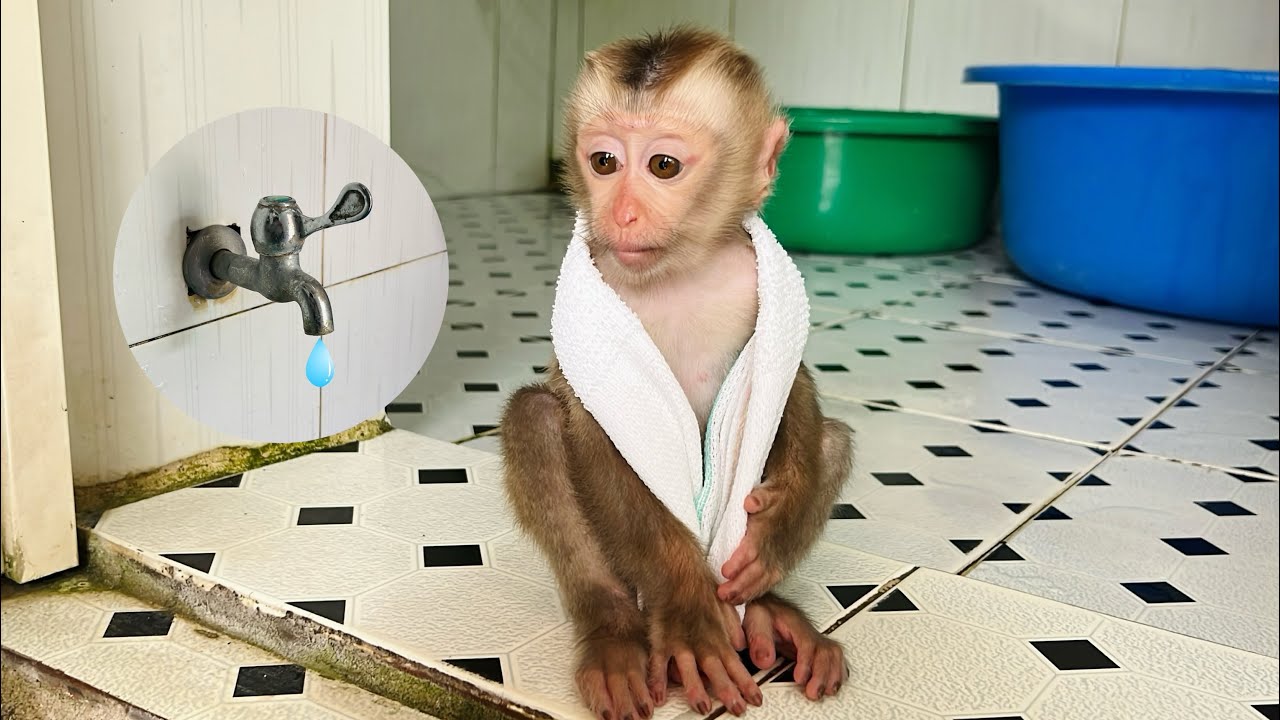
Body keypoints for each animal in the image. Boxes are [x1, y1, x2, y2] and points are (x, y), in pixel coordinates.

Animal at [499, 27, 853, 720]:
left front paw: (774, 530)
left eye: (663, 166)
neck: (682, 269)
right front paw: (689, 611)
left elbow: (787, 378)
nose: (622, 213)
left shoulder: (760, 293)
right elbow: (600, 433)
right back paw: (614, 631)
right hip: (627, 582)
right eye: (604, 163)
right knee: (535, 417)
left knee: (830, 439)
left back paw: (769, 615)